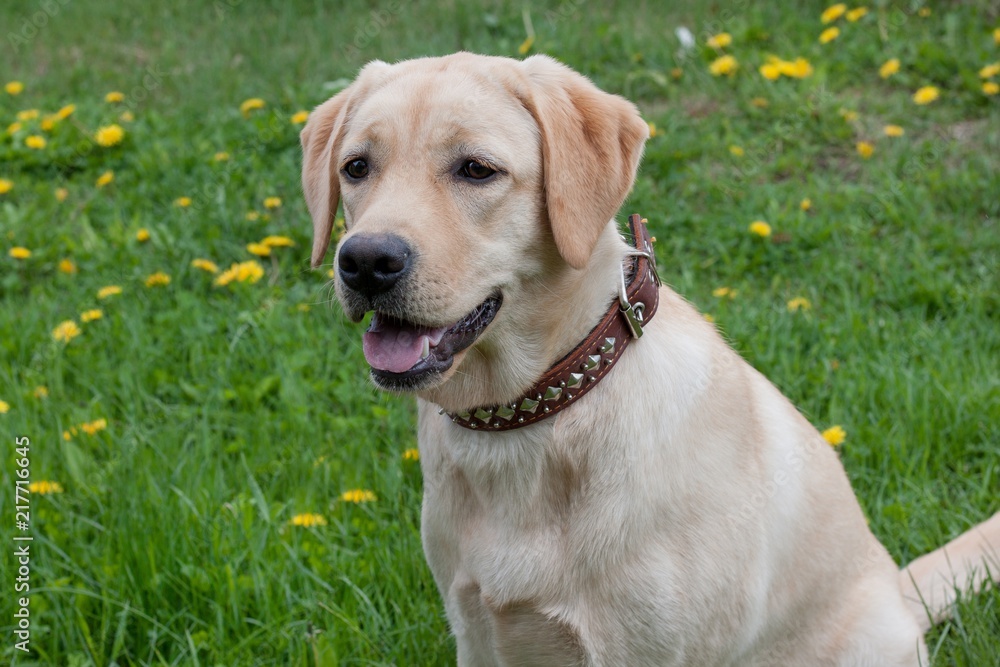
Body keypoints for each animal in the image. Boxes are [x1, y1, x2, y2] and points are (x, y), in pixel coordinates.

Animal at [302, 53, 1000, 667]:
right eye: (357, 167)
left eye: (476, 169)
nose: (365, 261)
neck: (530, 421)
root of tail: (900, 596)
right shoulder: (477, 632)